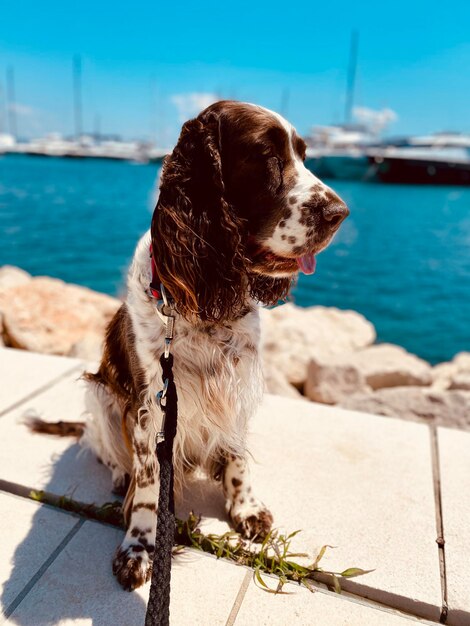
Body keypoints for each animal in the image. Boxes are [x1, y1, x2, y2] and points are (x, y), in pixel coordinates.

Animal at [34, 100, 348, 588]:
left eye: (303, 154)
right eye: (266, 155)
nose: (340, 212)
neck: (204, 300)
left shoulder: (235, 384)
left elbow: (237, 455)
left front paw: (245, 508)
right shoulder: (151, 403)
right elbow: (149, 484)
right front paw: (140, 547)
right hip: (99, 392)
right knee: (111, 452)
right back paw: (121, 478)